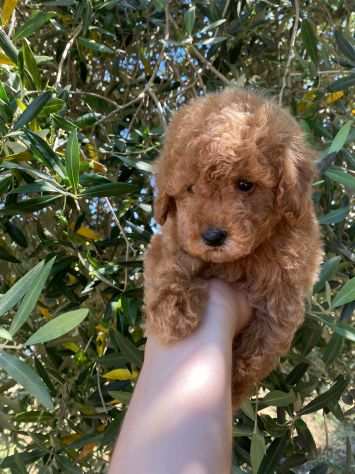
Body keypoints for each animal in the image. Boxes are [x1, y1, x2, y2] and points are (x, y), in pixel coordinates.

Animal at [143, 90, 324, 410]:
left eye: (245, 185)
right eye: (190, 189)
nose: (213, 236)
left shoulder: (285, 291)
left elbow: (264, 343)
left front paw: (235, 384)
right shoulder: (172, 236)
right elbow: (168, 263)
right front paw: (173, 313)